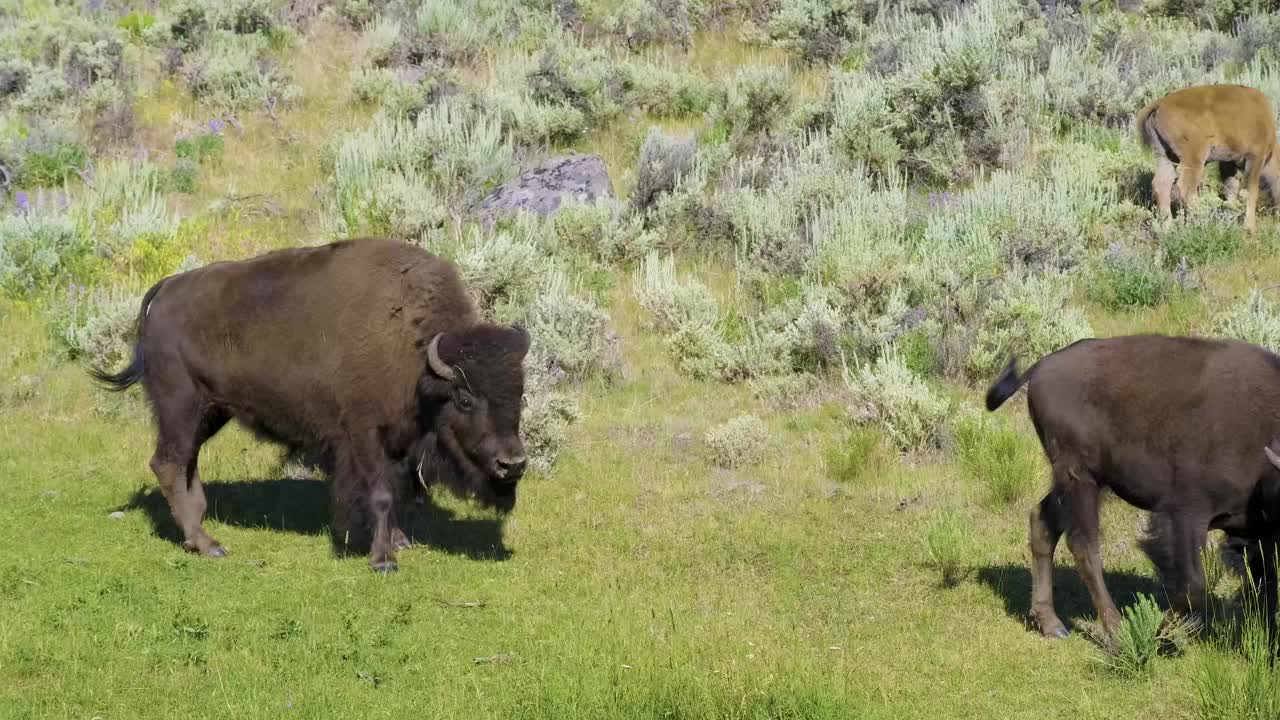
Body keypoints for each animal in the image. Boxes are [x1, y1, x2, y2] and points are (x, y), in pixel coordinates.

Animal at [91, 235, 529, 571]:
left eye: (519, 393)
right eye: (465, 398)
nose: (513, 464)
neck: (415, 350)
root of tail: (164, 289)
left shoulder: (399, 443)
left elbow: (399, 491)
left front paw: (398, 541)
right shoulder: (363, 435)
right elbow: (382, 494)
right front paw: (382, 559)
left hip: (210, 412)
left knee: (186, 463)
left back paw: (198, 530)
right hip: (180, 405)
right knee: (168, 463)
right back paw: (207, 544)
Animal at [983, 335, 1280, 638]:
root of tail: (1040, 367)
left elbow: (1263, 587)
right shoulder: (1186, 514)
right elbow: (1194, 586)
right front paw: (1159, 633)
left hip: (1075, 482)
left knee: (1043, 523)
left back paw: (1052, 624)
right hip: (1081, 479)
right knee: (1084, 545)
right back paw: (1116, 631)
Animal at [1136, 83, 1274, 230]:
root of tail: (1159, 104)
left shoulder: (1229, 163)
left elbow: (1231, 188)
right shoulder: (1256, 157)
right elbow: (1251, 191)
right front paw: (1250, 228)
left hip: (1164, 156)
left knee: (1162, 184)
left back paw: (1167, 227)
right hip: (1194, 159)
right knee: (1186, 188)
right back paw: (1203, 221)